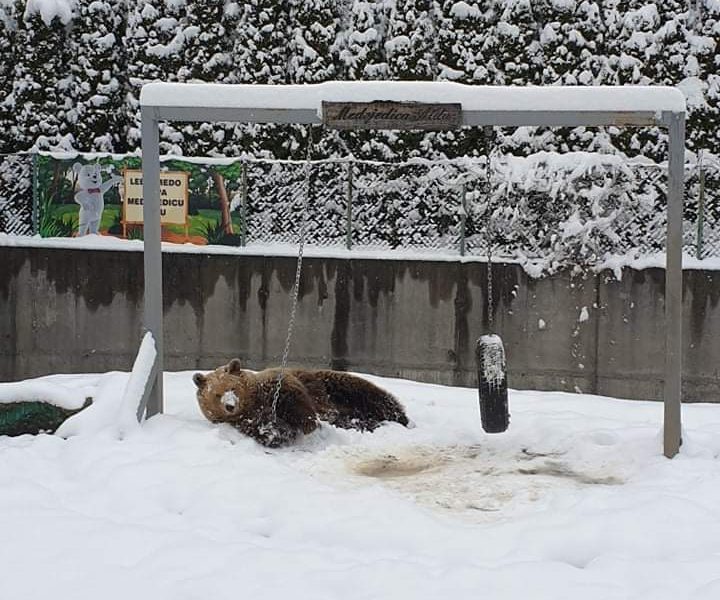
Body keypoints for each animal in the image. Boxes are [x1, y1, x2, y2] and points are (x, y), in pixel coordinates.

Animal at [191, 358, 408, 448]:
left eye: (233, 388)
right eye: (217, 394)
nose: (230, 405)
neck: (253, 401)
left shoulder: (279, 385)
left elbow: (295, 401)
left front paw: (308, 424)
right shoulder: (244, 421)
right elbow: (265, 430)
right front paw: (274, 432)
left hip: (334, 385)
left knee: (372, 395)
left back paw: (400, 417)